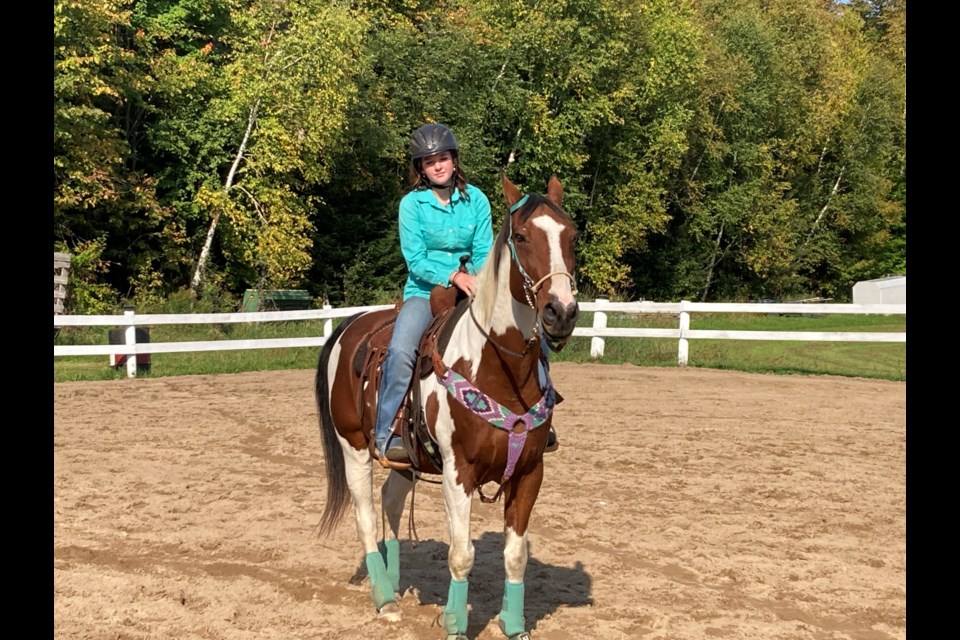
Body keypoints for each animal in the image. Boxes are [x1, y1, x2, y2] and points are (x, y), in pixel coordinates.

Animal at [318, 172, 580, 636]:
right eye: (522, 236)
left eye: (572, 235)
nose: (561, 312)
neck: (498, 368)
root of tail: (350, 325)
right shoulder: (460, 474)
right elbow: (461, 555)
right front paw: (456, 623)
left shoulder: (531, 472)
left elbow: (516, 556)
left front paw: (515, 624)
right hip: (353, 448)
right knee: (365, 514)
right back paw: (384, 599)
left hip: (407, 459)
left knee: (390, 502)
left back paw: (394, 580)